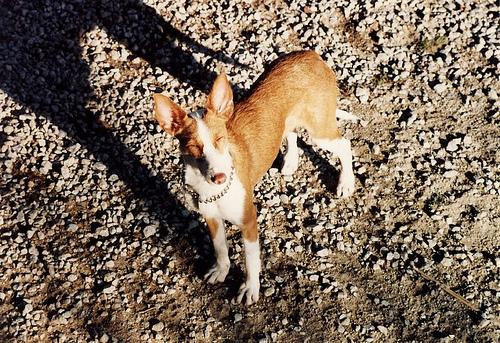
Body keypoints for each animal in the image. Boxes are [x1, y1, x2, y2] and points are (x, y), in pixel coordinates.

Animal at [152, 49, 356, 306]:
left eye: (220, 139)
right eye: (193, 146)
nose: (219, 177)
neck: (213, 190)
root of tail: (308, 53)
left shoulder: (248, 221)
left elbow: (251, 262)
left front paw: (250, 288)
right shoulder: (211, 217)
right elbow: (220, 249)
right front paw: (221, 270)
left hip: (320, 131)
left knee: (344, 145)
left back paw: (346, 182)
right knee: (290, 131)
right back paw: (290, 161)